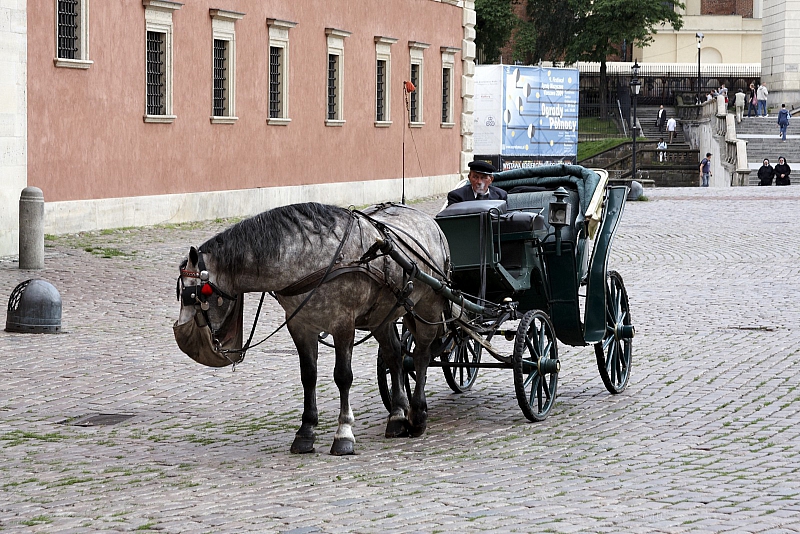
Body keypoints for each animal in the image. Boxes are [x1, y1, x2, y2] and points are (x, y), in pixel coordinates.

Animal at [173, 203, 450, 454]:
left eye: (200, 295)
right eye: (182, 295)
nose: (186, 342)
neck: (313, 259)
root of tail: (430, 221)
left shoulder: (343, 325)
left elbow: (343, 376)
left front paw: (344, 433)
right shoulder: (300, 326)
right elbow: (308, 376)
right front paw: (306, 432)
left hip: (429, 306)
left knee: (421, 356)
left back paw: (417, 414)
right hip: (382, 315)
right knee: (395, 355)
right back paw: (397, 416)